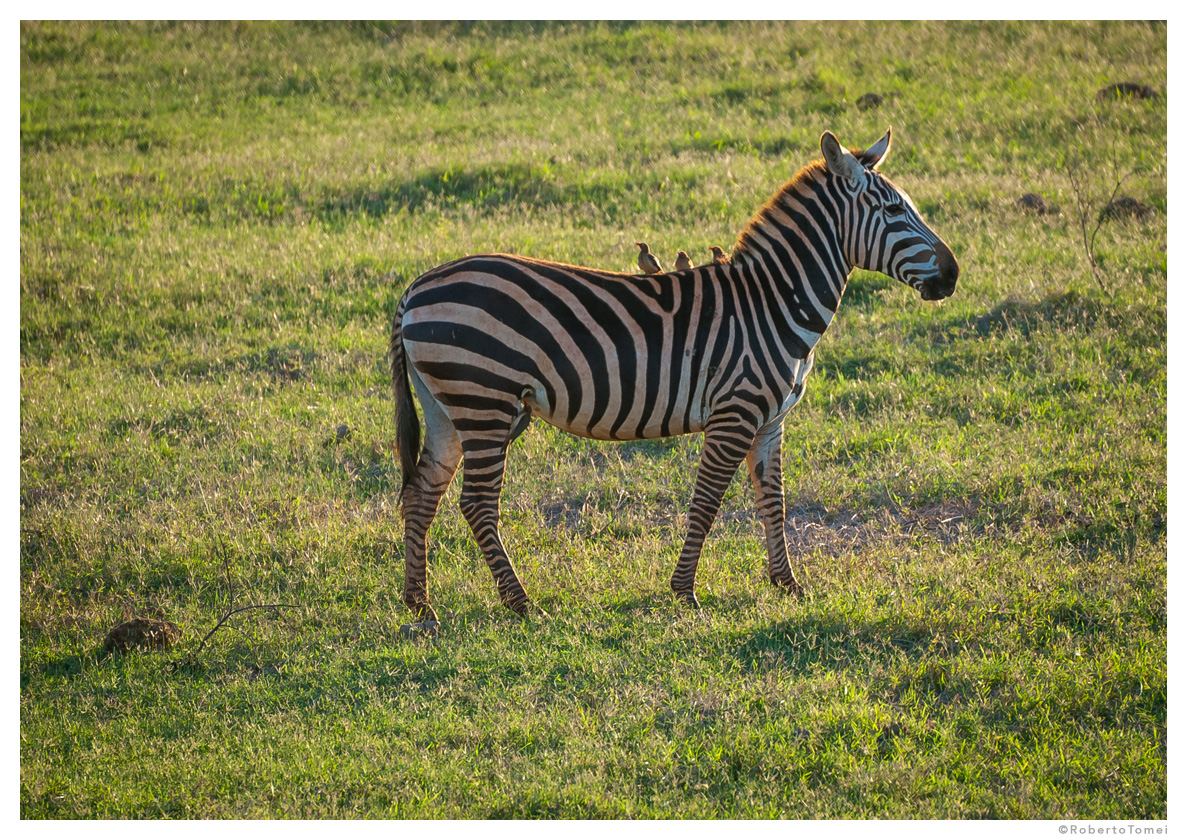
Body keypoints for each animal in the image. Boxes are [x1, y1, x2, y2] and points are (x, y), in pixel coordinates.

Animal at [390, 127, 958, 621]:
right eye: (894, 210)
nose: (953, 275)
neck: (772, 303)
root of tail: (416, 286)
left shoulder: (771, 420)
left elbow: (773, 501)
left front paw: (788, 584)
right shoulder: (735, 413)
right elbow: (706, 502)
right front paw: (685, 592)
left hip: (447, 407)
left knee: (422, 492)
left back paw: (420, 604)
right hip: (483, 399)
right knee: (477, 503)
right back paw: (521, 603)